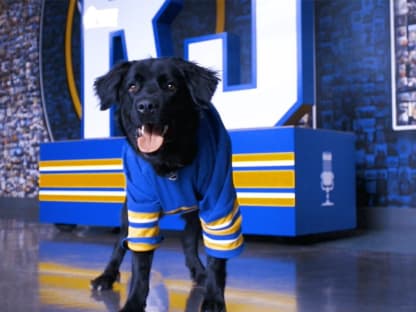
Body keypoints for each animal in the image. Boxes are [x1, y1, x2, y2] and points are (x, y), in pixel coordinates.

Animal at [89, 57, 242, 310]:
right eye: (132, 87)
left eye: (171, 86)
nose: (146, 106)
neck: (168, 162)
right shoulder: (141, 208)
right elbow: (140, 264)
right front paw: (133, 302)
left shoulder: (219, 203)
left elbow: (216, 258)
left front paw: (213, 297)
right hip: (127, 212)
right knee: (120, 243)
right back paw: (106, 276)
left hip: (194, 211)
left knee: (187, 240)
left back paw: (199, 273)